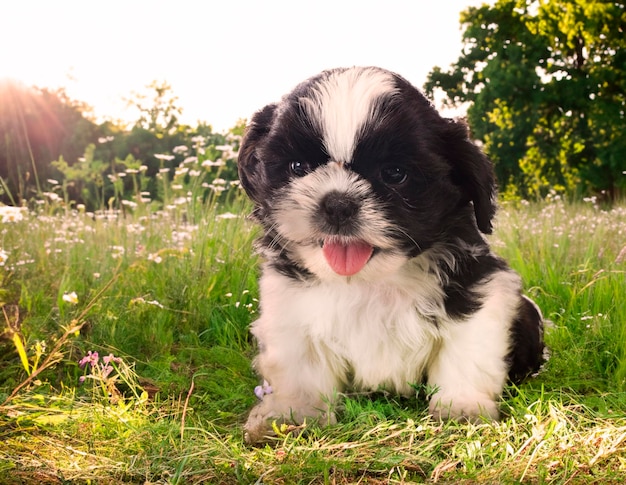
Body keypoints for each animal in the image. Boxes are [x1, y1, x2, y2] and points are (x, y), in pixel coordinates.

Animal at [236, 67, 544, 442]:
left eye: (395, 174)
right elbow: (299, 366)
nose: (337, 203)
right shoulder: (289, 303)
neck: (370, 281)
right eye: (298, 167)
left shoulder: (479, 288)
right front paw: (292, 413)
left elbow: (466, 350)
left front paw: (461, 407)